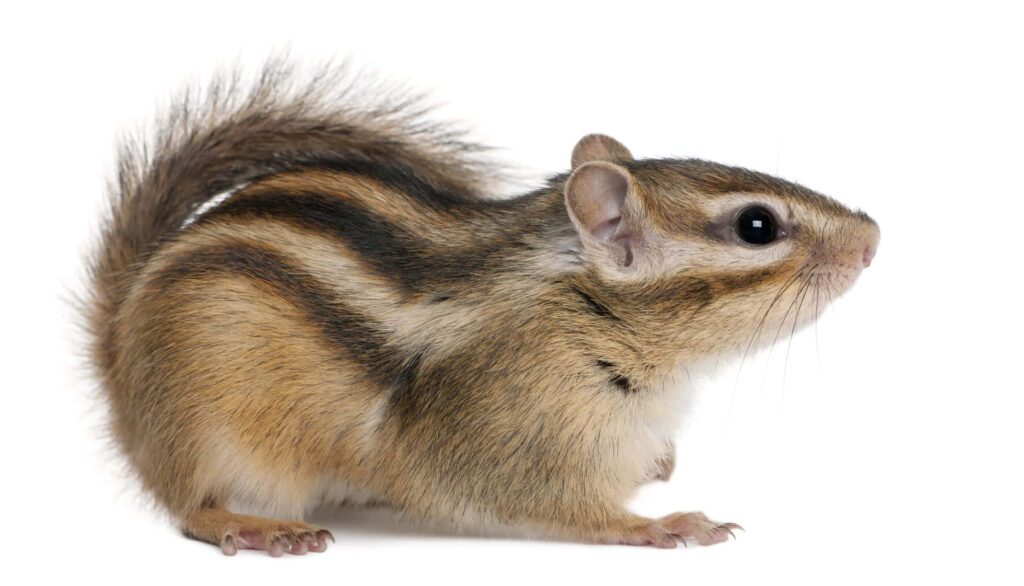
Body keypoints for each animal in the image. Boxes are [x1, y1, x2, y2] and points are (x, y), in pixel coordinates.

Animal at [84, 60, 879, 556]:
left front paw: (664, 467)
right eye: (757, 226)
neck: (584, 311)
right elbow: (567, 510)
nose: (873, 239)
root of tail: (118, 348)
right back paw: (259, 527)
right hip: (204, 430)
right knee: (192, 508)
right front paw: (664, 525)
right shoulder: (520, 440)